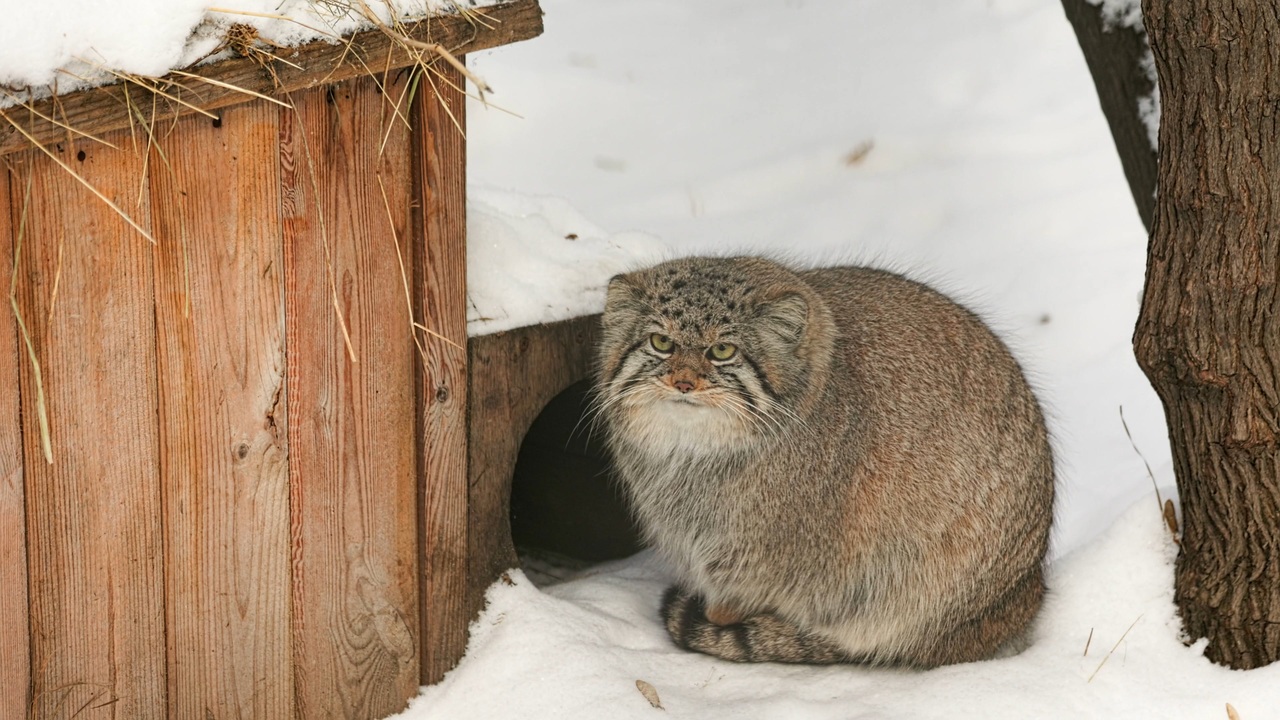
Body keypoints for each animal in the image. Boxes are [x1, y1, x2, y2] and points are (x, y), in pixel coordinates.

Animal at [593, 254, 1054, 666]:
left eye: (723, 350)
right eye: (661, 343)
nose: (684, 383)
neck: (694, 454)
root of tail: (1024, 592)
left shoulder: (763, 554)